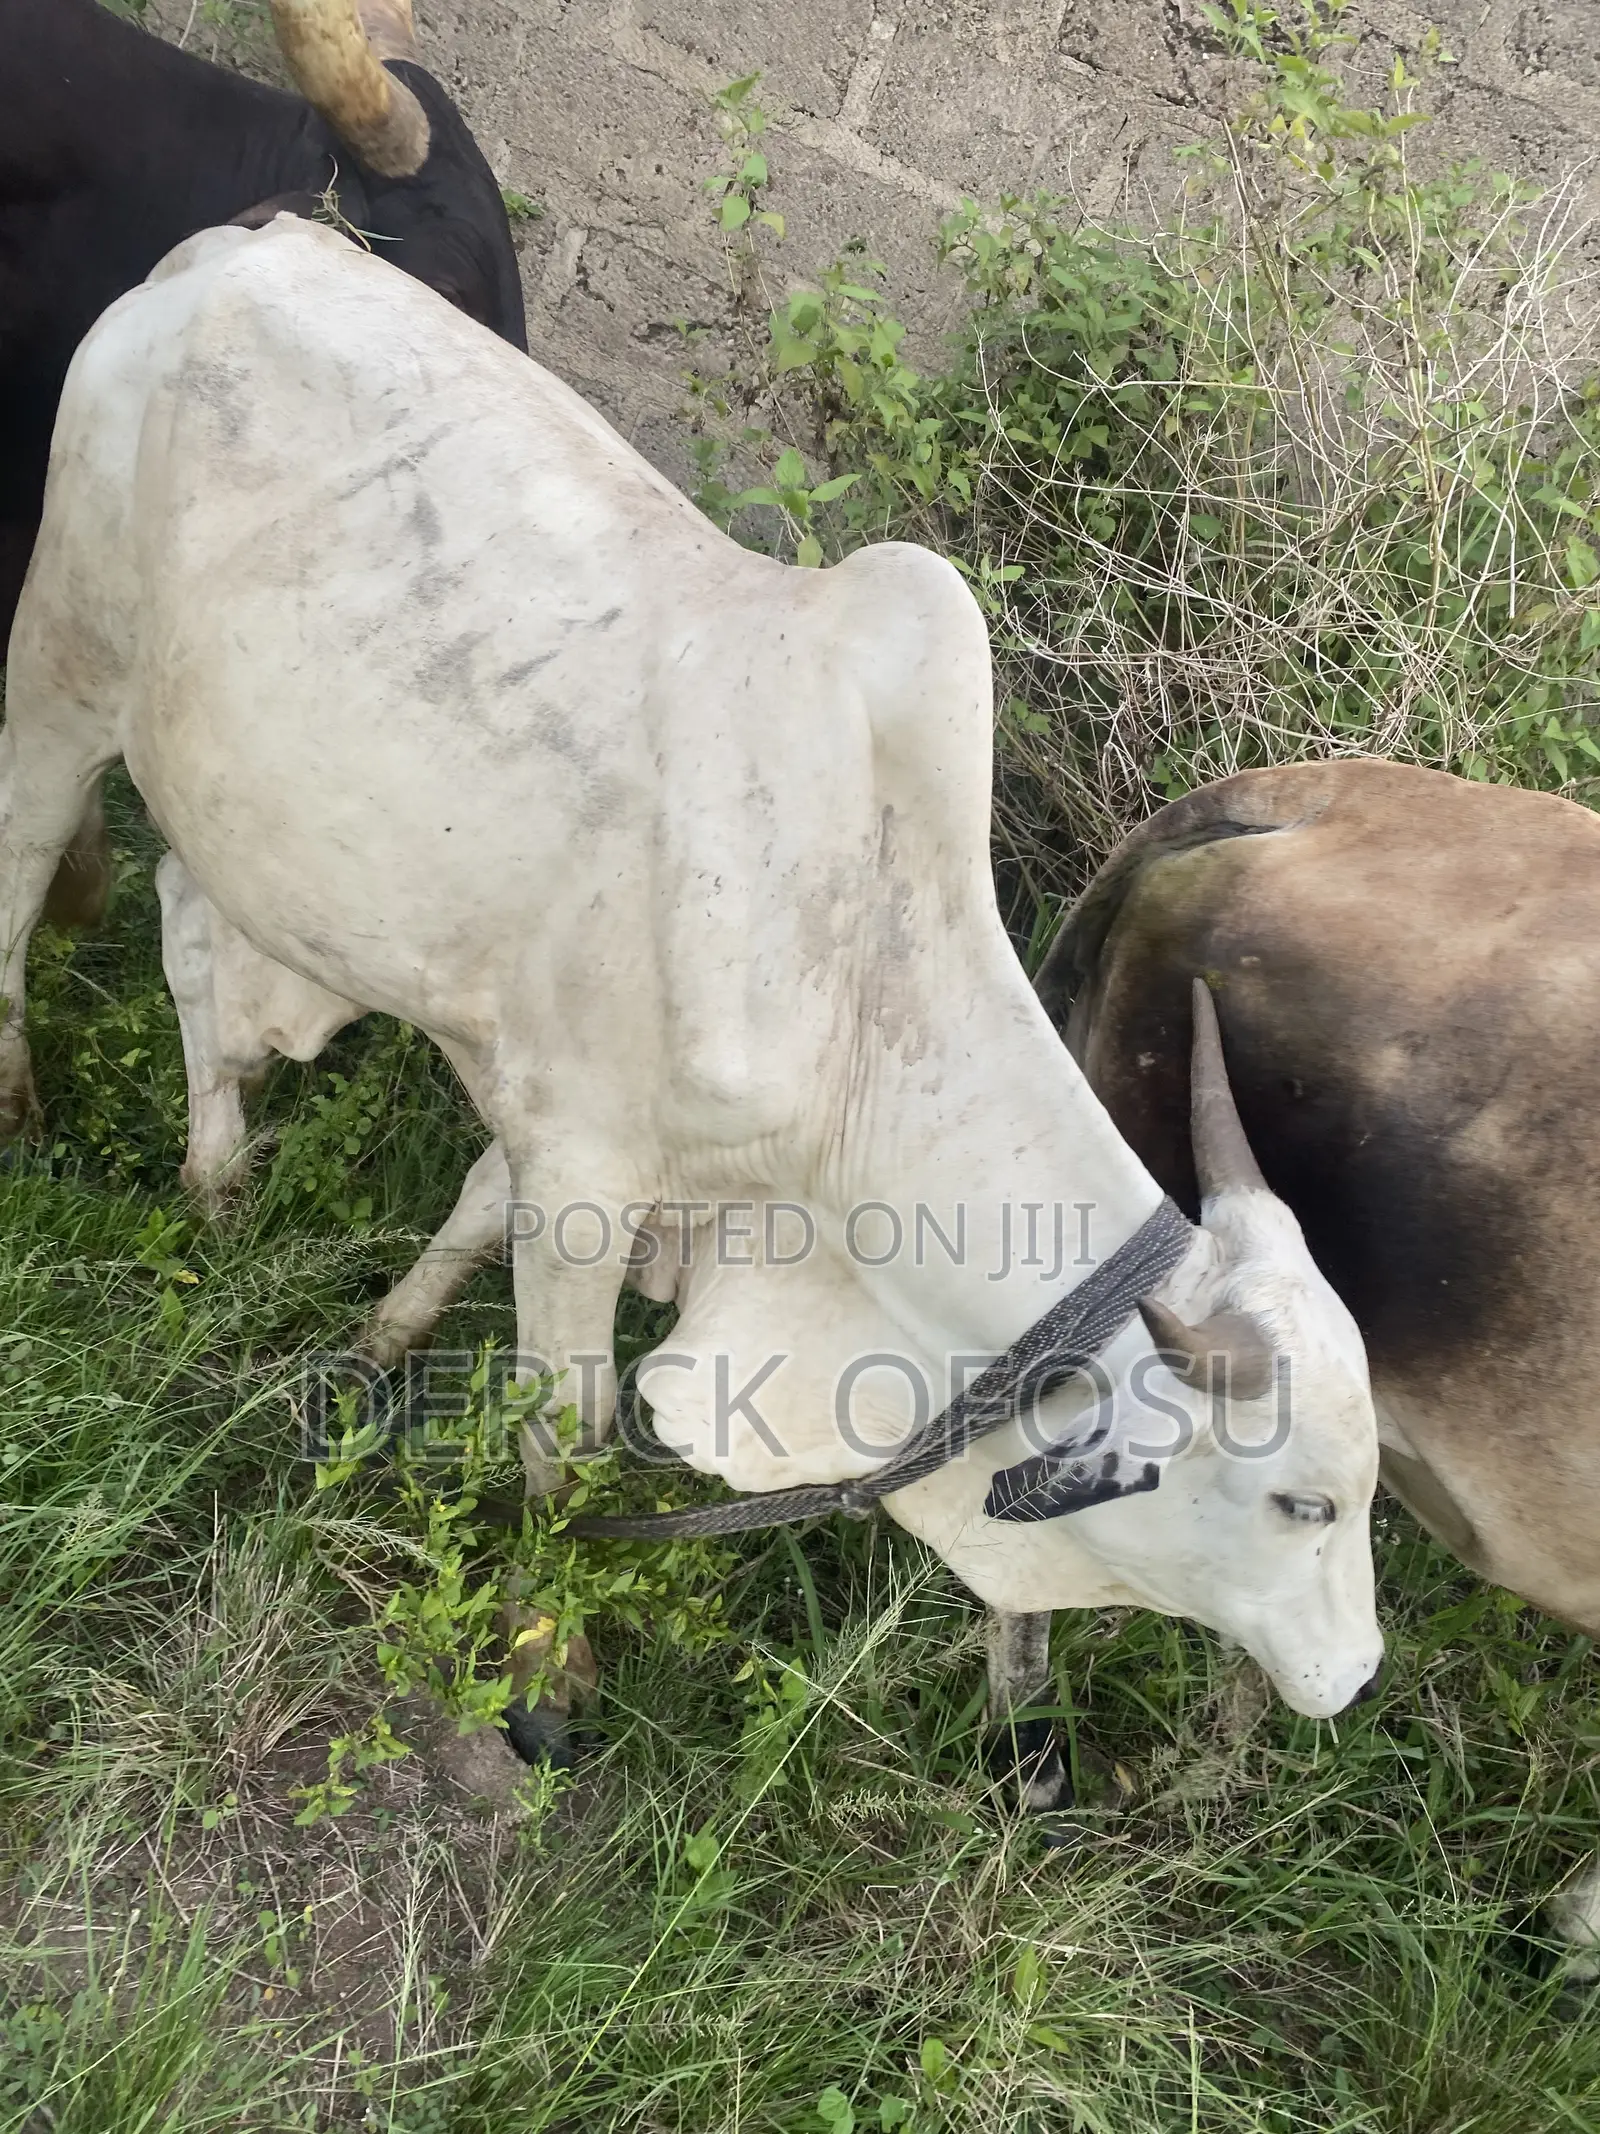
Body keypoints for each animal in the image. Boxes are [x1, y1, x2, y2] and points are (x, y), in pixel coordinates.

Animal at [0, 215, 1383, 1749]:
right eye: (1303, 1502)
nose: (1354, 1674)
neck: (854, 1008)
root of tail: (239, 246)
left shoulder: (563, 1126)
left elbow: (468, 1210)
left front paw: (372, 1348)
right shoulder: (587, 1176)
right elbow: (568, 1426)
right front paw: (550, 1665)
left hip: (238, 815)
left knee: (192, 927)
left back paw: (218, 1176)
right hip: (60, 669)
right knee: (17, 870)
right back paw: (22, 1112)